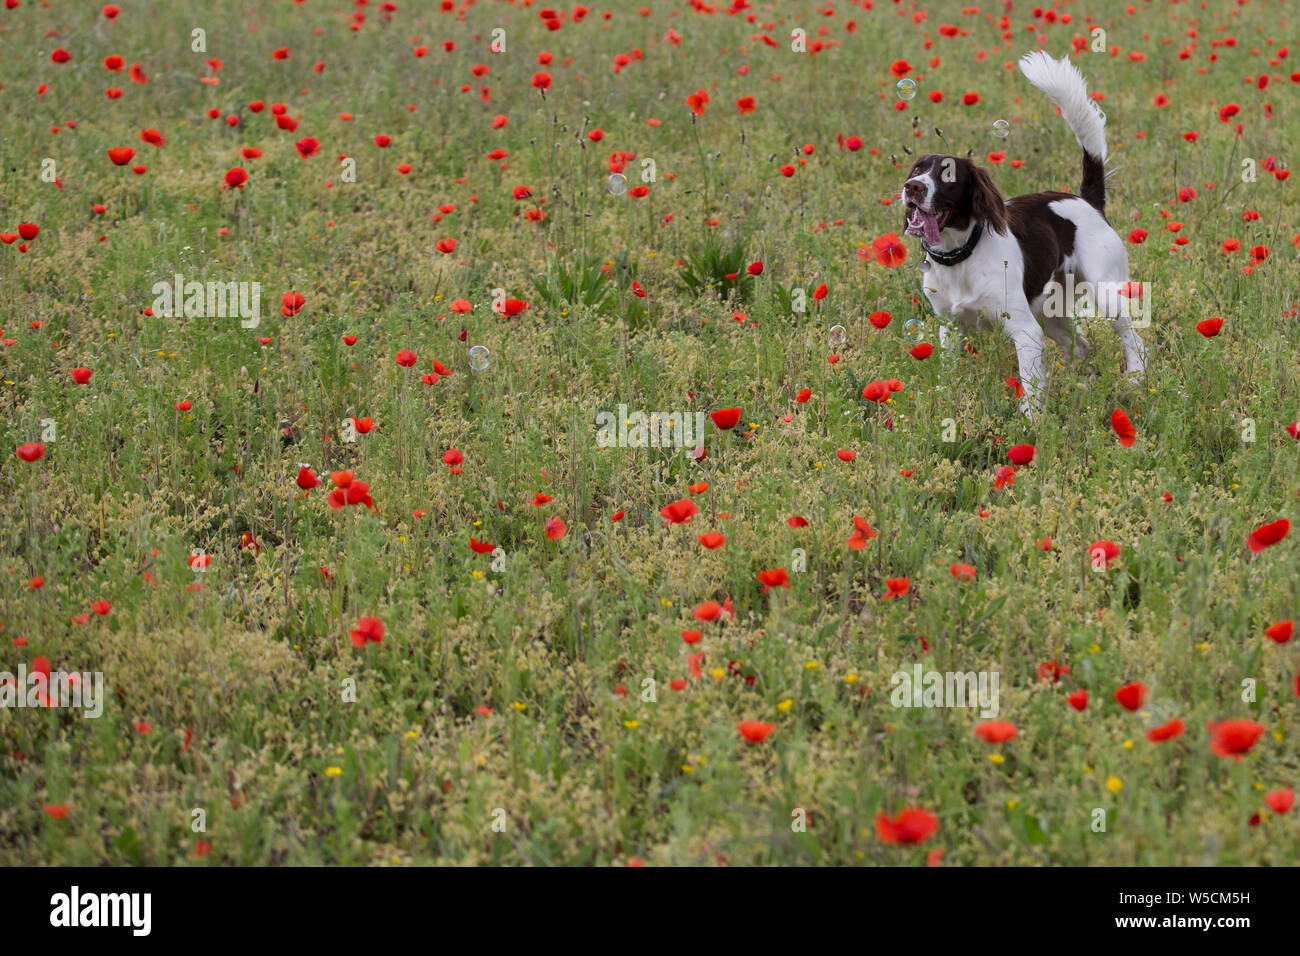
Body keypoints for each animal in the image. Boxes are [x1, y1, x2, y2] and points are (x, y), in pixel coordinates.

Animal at [904, 51, 1149, 418]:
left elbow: (1031, 392)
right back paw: (1075, 387)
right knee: (1081, 347)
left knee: (1133, 339)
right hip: (1051, 313)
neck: (961, 256)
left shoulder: (1025, 331)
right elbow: (949, 374)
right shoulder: (950, 327)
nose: (912, 187)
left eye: (948, 175)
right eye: (917, 169)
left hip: (1105, 293)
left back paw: (1135, 380)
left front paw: (1032, 425)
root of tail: (1087, 201)